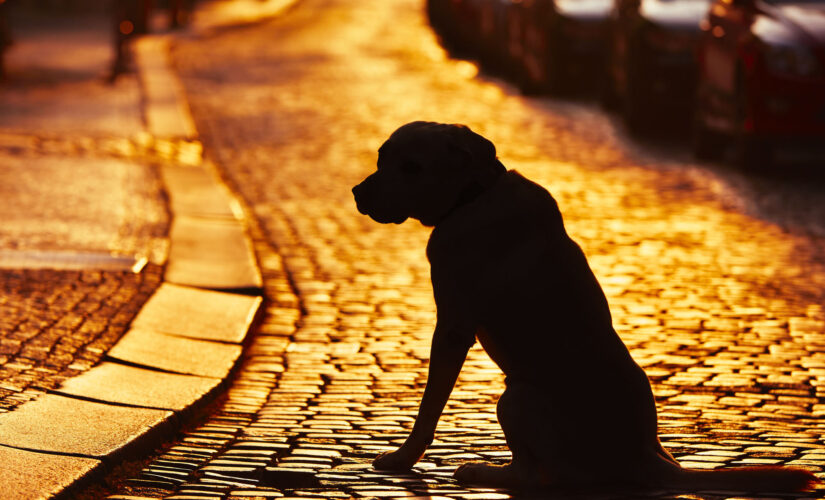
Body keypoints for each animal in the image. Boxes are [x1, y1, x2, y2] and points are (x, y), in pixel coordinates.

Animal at [350, 122, 816, 492]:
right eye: (382, 157)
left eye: (412, 167)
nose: (358, 192)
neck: (473, 195)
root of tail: (651, 460)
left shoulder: (452, 328)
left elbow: (428, 407)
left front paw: (401, 458)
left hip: (517, 396)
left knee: (536, 475)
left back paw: (482, 472)